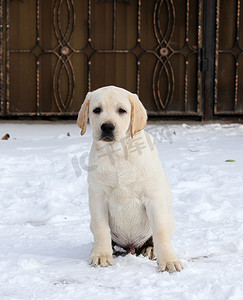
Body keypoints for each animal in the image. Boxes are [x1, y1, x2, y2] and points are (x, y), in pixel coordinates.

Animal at [77, 86, 182, 272]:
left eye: (122, 111)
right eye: (97, 110)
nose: (107, 126)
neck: (117, 153)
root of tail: (132, 247)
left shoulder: (153, 198)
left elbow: (160, 231)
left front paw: (169, 260)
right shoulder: (98, 197)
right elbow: (101, 228)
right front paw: (101, 255)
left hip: (170, 219)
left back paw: (150, 249)